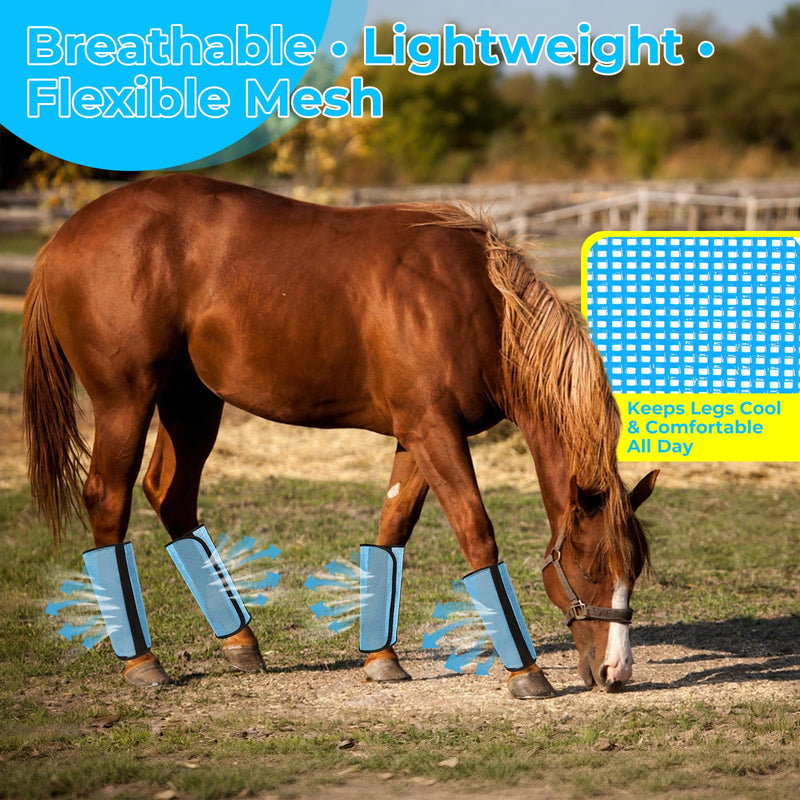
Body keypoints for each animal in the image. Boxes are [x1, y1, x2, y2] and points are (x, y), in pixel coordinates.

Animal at [22, 174, 657, 697]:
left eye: (634, 569)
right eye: (590, 566)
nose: (616, 672)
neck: (474, 303)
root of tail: (62, 239)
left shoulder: (416, 436)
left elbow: (392, 529)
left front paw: (381, 658)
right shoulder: (434, 431)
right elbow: (477, 535)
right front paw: (525, 672)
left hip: (192, 401)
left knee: (171, 496)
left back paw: (241, 643)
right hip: (125, 402)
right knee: (108, 500)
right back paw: (142, 662)